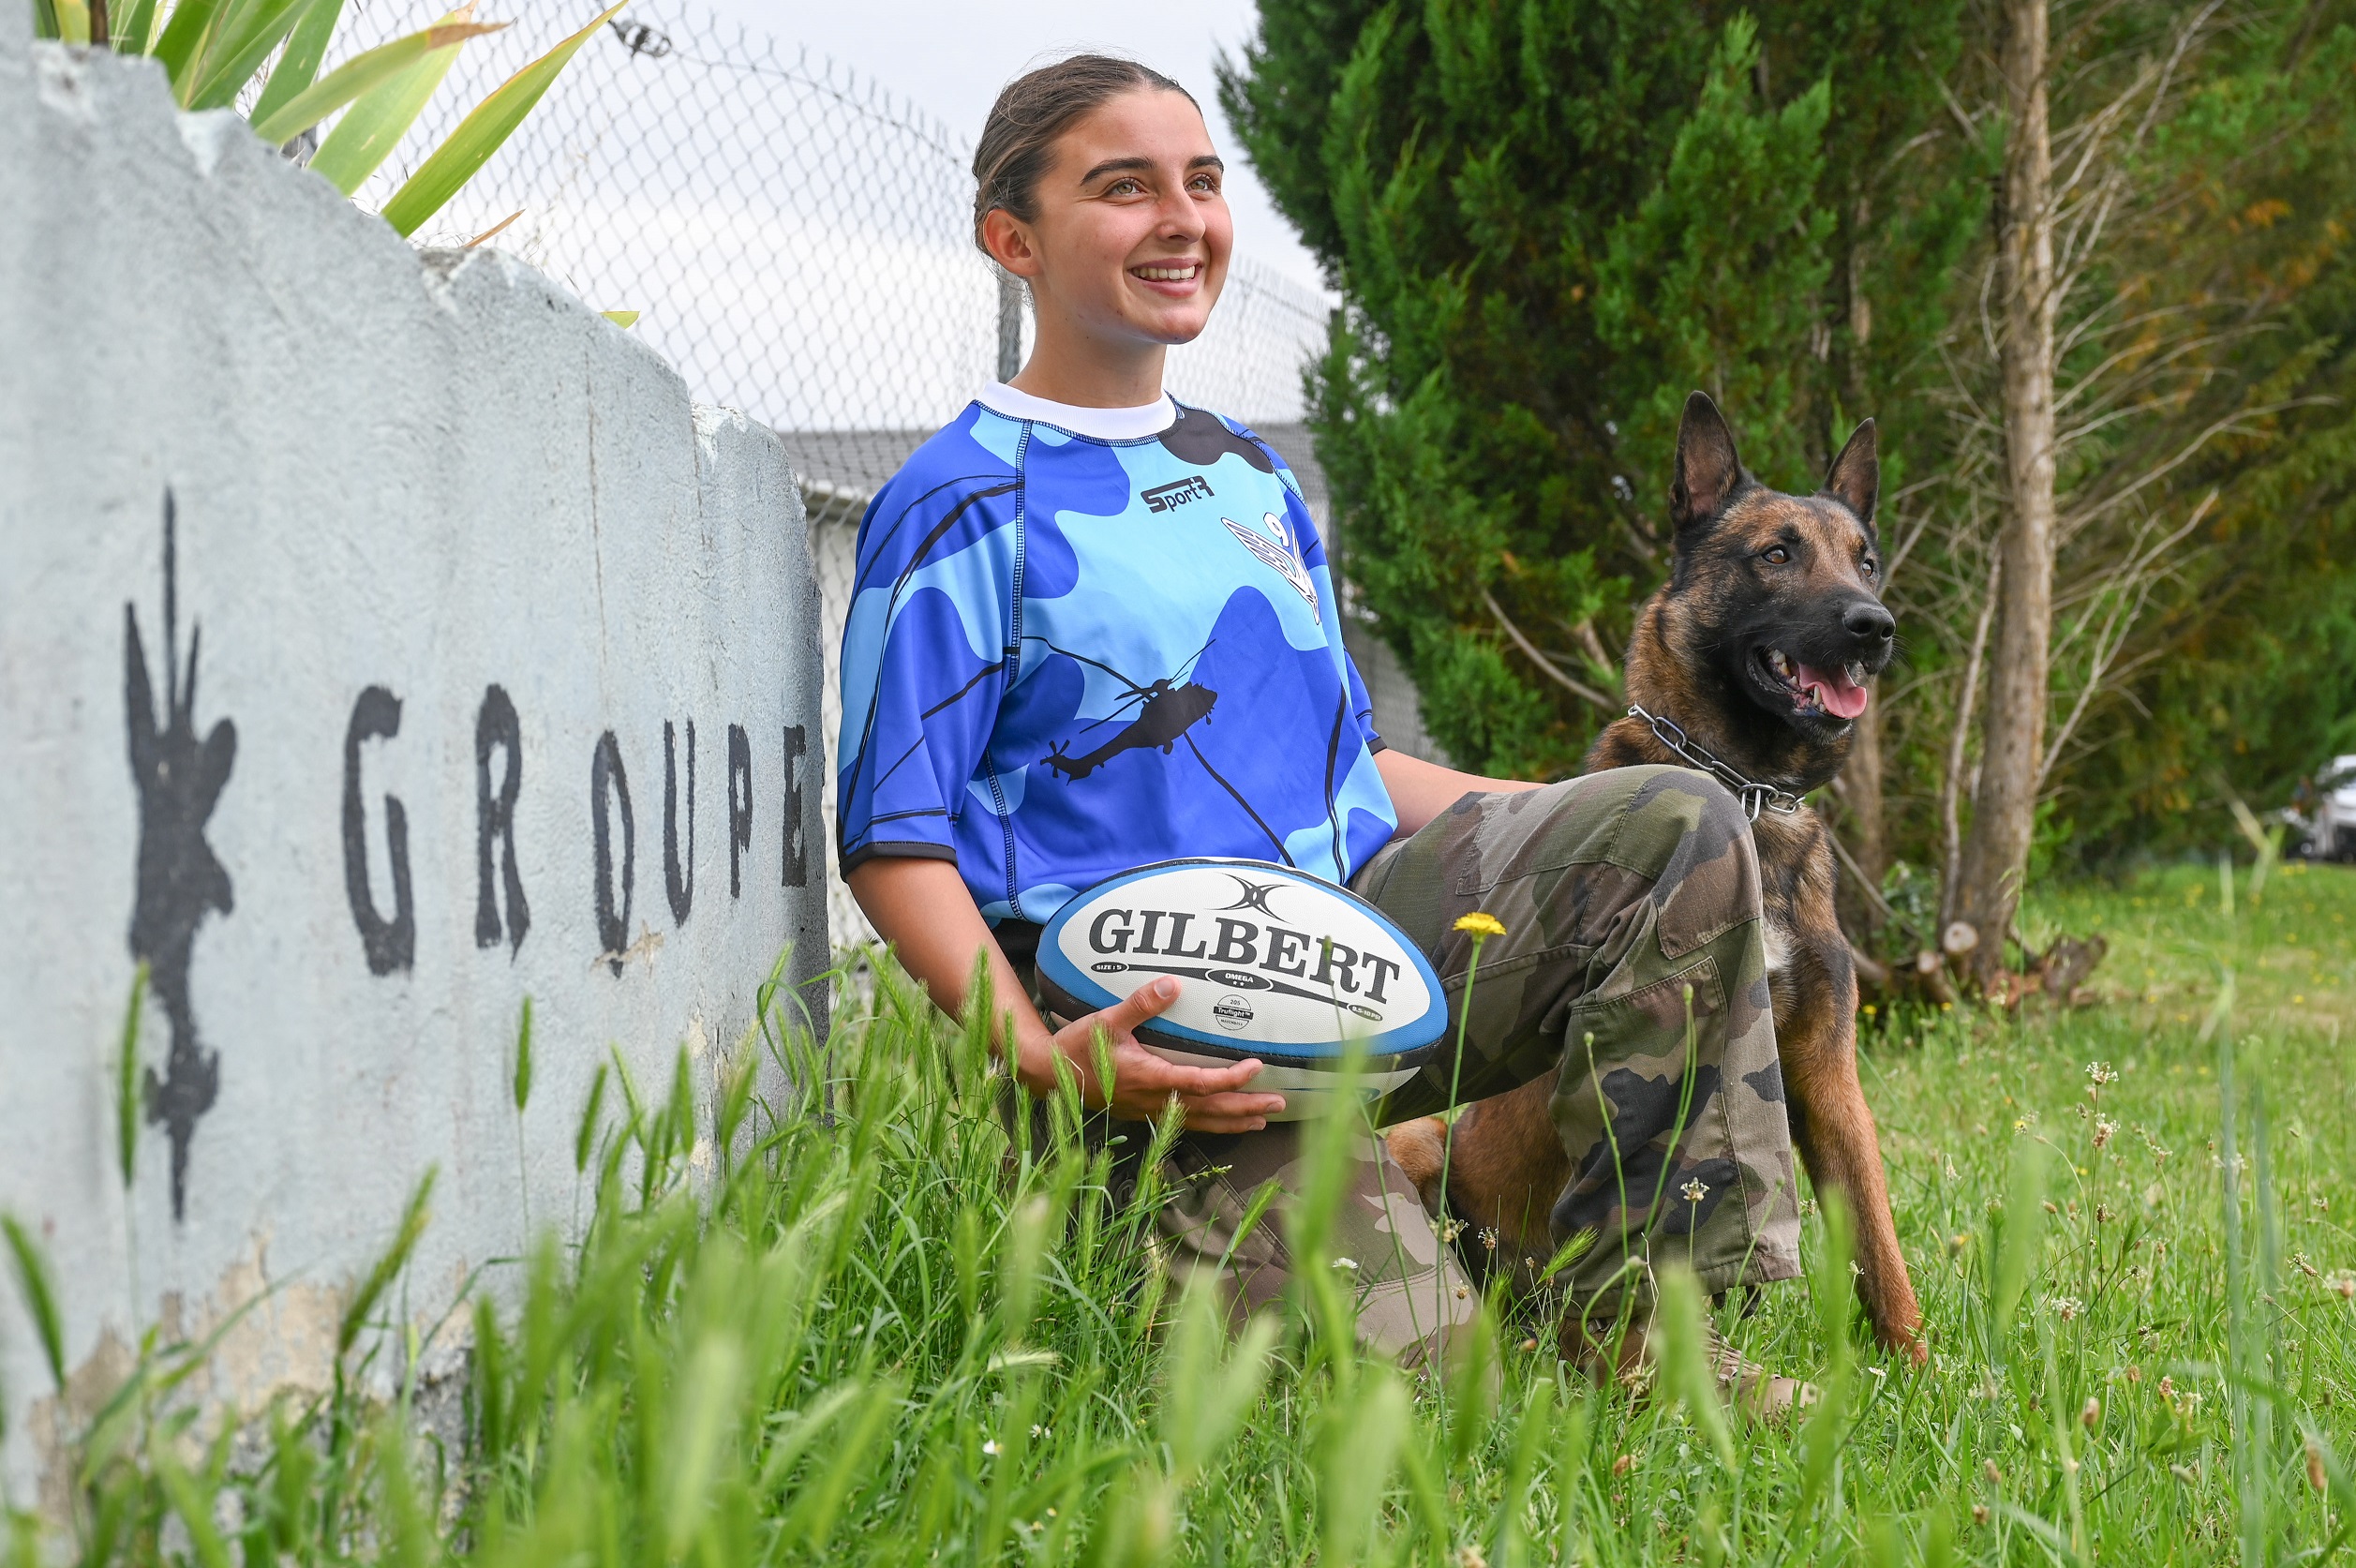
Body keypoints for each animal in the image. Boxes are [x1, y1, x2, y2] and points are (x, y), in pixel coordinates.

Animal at [1385, 389, 1922, 1358]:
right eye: (1776, 553)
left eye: (1865, 560)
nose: (1876, 626)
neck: (1747, 791)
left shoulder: (1828, 1076)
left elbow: (1878, 1243)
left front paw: (1919, 1368)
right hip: (1423, 1147)